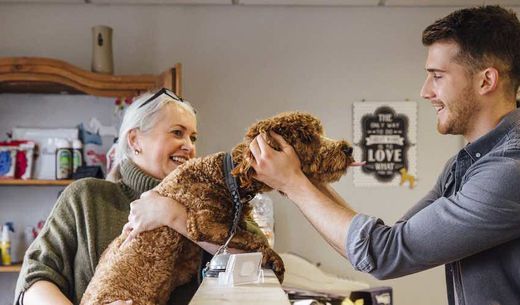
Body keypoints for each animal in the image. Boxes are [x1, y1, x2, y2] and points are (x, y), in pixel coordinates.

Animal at [80, 111, 358, 304]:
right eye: (308, 137)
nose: (348, 148)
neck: (226, 177)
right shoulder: (204, 223)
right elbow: (254, 240)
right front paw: (276, 261)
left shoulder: (237, 220)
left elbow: (253, 235)